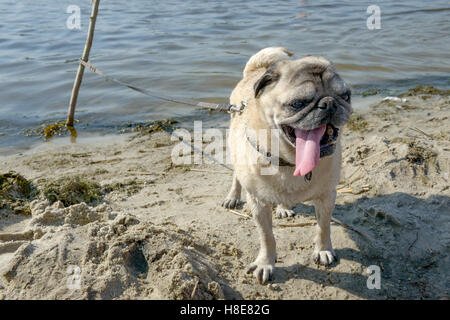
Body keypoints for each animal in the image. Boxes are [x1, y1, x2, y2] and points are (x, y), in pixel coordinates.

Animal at [221, 47, 352, 282]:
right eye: (298, 103)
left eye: (346, 96)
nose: (329, 103)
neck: (290, 162)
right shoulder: (258, 204)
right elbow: (267, 237)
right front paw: (266, 263)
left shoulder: (327, 197)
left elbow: (323, 227)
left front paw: (323, 250)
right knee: (236, 176)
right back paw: (233, 196)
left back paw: (283, 207)